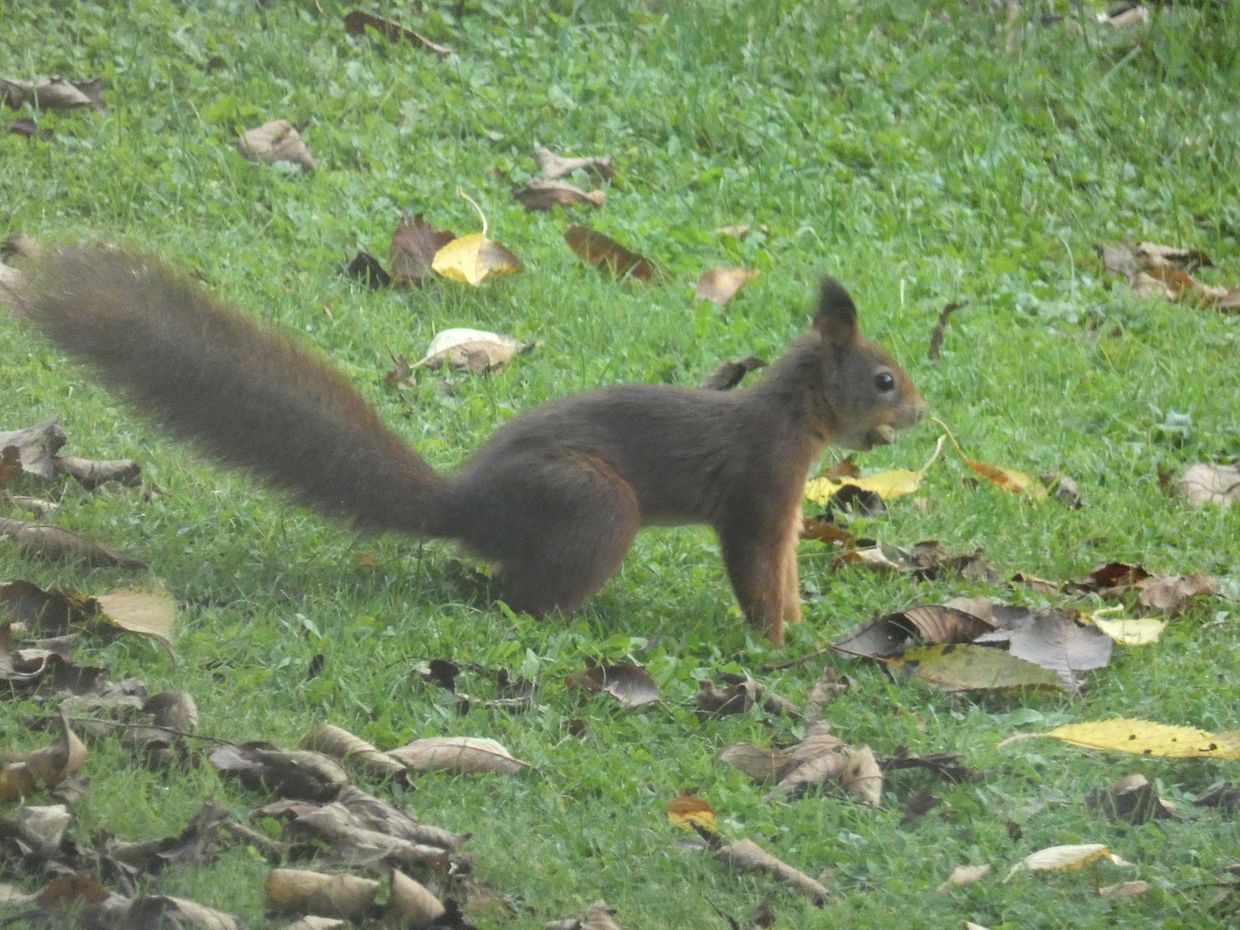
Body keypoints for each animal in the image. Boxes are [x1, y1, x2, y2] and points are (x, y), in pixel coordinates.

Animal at [22, 246, 926, 645]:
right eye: (884, 379)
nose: (919, 411)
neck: (794, 419)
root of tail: (469, 507)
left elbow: (787, 568)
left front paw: (801, 623)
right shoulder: (758, 490)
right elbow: (756, 568)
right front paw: (778, 642)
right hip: (595, 506)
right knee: (515, 594)